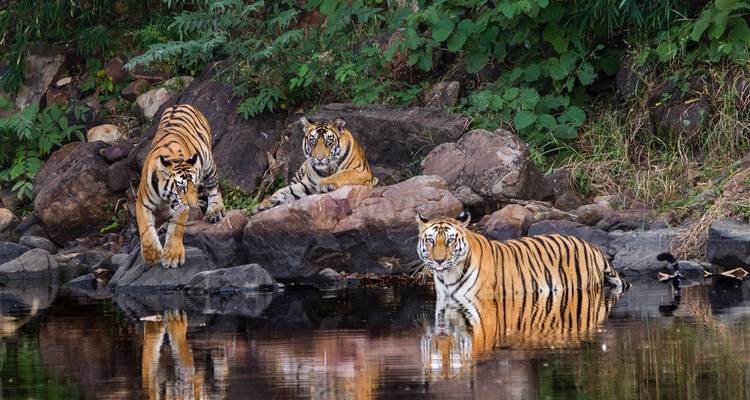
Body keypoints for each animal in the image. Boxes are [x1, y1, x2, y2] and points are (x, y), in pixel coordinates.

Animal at [136, 104, 226, 268]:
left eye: (194, 187)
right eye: (181, 187)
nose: (193, 205)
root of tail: (179, 104)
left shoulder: (181, 205)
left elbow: (177, 228)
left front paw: (172, 256)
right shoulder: (142, 201)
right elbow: (145, 226)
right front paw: (152, 254)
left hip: (208, 163)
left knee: (214, 187)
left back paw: (215, 210)